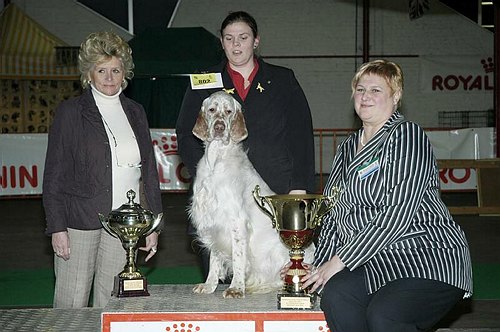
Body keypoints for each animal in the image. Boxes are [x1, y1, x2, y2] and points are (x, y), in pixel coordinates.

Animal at [190, 91, 312, 298]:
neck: (217, 160)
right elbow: (215, 259)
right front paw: (209, 285)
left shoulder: (236, 222)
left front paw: (236, 288)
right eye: (212, 110)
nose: (219, 127)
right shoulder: (214, 221)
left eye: (229, 111)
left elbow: (238, 258)